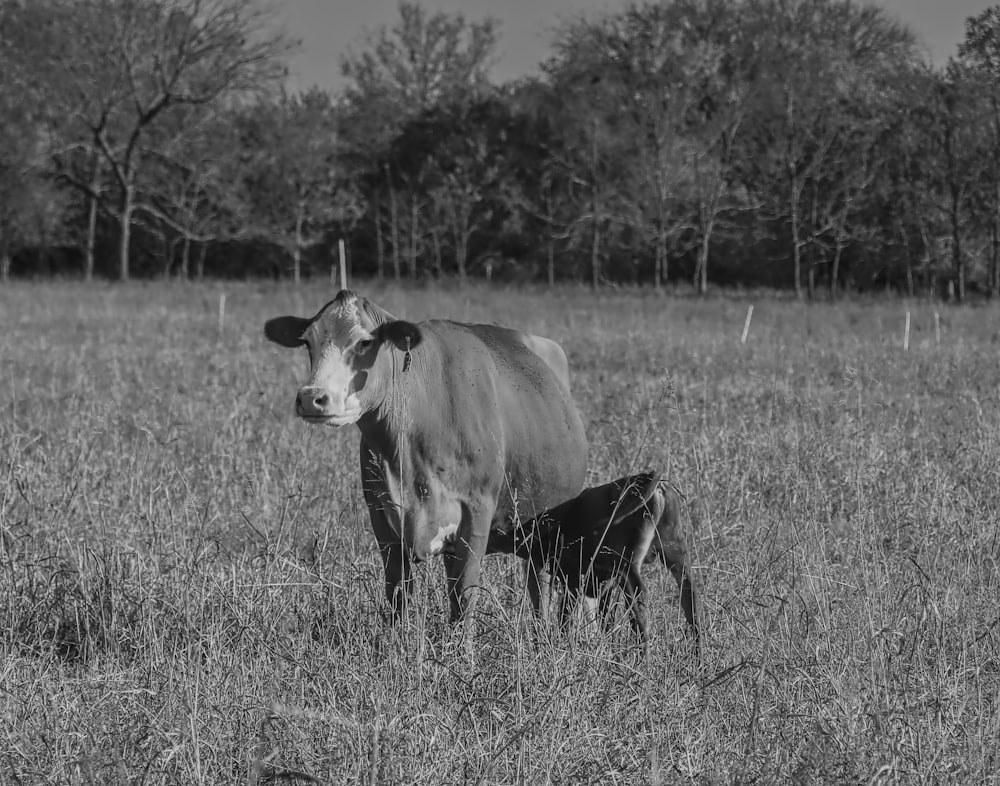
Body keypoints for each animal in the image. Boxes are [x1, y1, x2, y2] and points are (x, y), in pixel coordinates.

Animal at [264, 290, 584, 620]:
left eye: (364, 342)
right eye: (307, 342)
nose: (311, 397)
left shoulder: (478, 509)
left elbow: (463, 597)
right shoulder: (380, 515)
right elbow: (398, 594)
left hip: (546, 531)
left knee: (539, 585)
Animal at [512, 472, 700, 644]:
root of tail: (657, 484)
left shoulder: (573, 577)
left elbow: (566, 615)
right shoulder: (604, 580)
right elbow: (605, 618)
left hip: (629, 564)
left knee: (640, 599)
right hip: (676, 554)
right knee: (690, 598)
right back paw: (697, 655)